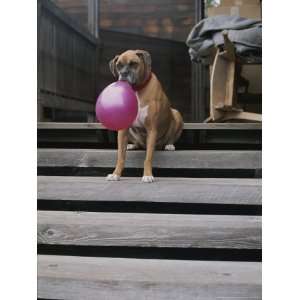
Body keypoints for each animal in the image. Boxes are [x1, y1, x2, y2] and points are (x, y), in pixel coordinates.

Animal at [106, 49, 184, 183]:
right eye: (119, 66)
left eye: (133, 64)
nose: (123, 74)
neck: (136, 90)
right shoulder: (123, 130)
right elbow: (121, 156)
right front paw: (116, 174)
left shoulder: (152, 130)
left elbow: (148, 157)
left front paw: (147, 175)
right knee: (136, 144)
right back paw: (132, 145)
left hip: (176, 114)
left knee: (170, 138)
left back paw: (169, 145)